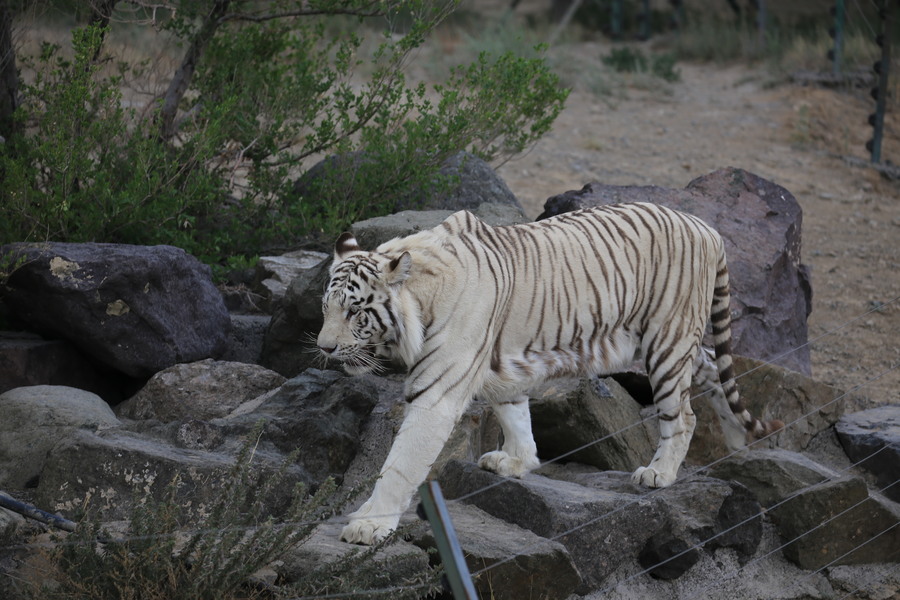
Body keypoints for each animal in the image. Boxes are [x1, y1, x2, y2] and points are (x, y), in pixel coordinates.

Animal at [316, 202, 780, 544]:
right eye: (326, 308)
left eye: (355, 311)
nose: (324, 347)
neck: (421, 299)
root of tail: (706, 227)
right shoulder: (500, 368)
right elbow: (515, 415)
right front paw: (518, 461)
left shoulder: (438, 391)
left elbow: (399, 464)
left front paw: (369, 524)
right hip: (672, 343)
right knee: (712, 369)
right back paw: (736, 440)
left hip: (666, 341)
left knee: (683, 414)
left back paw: (660, 473)